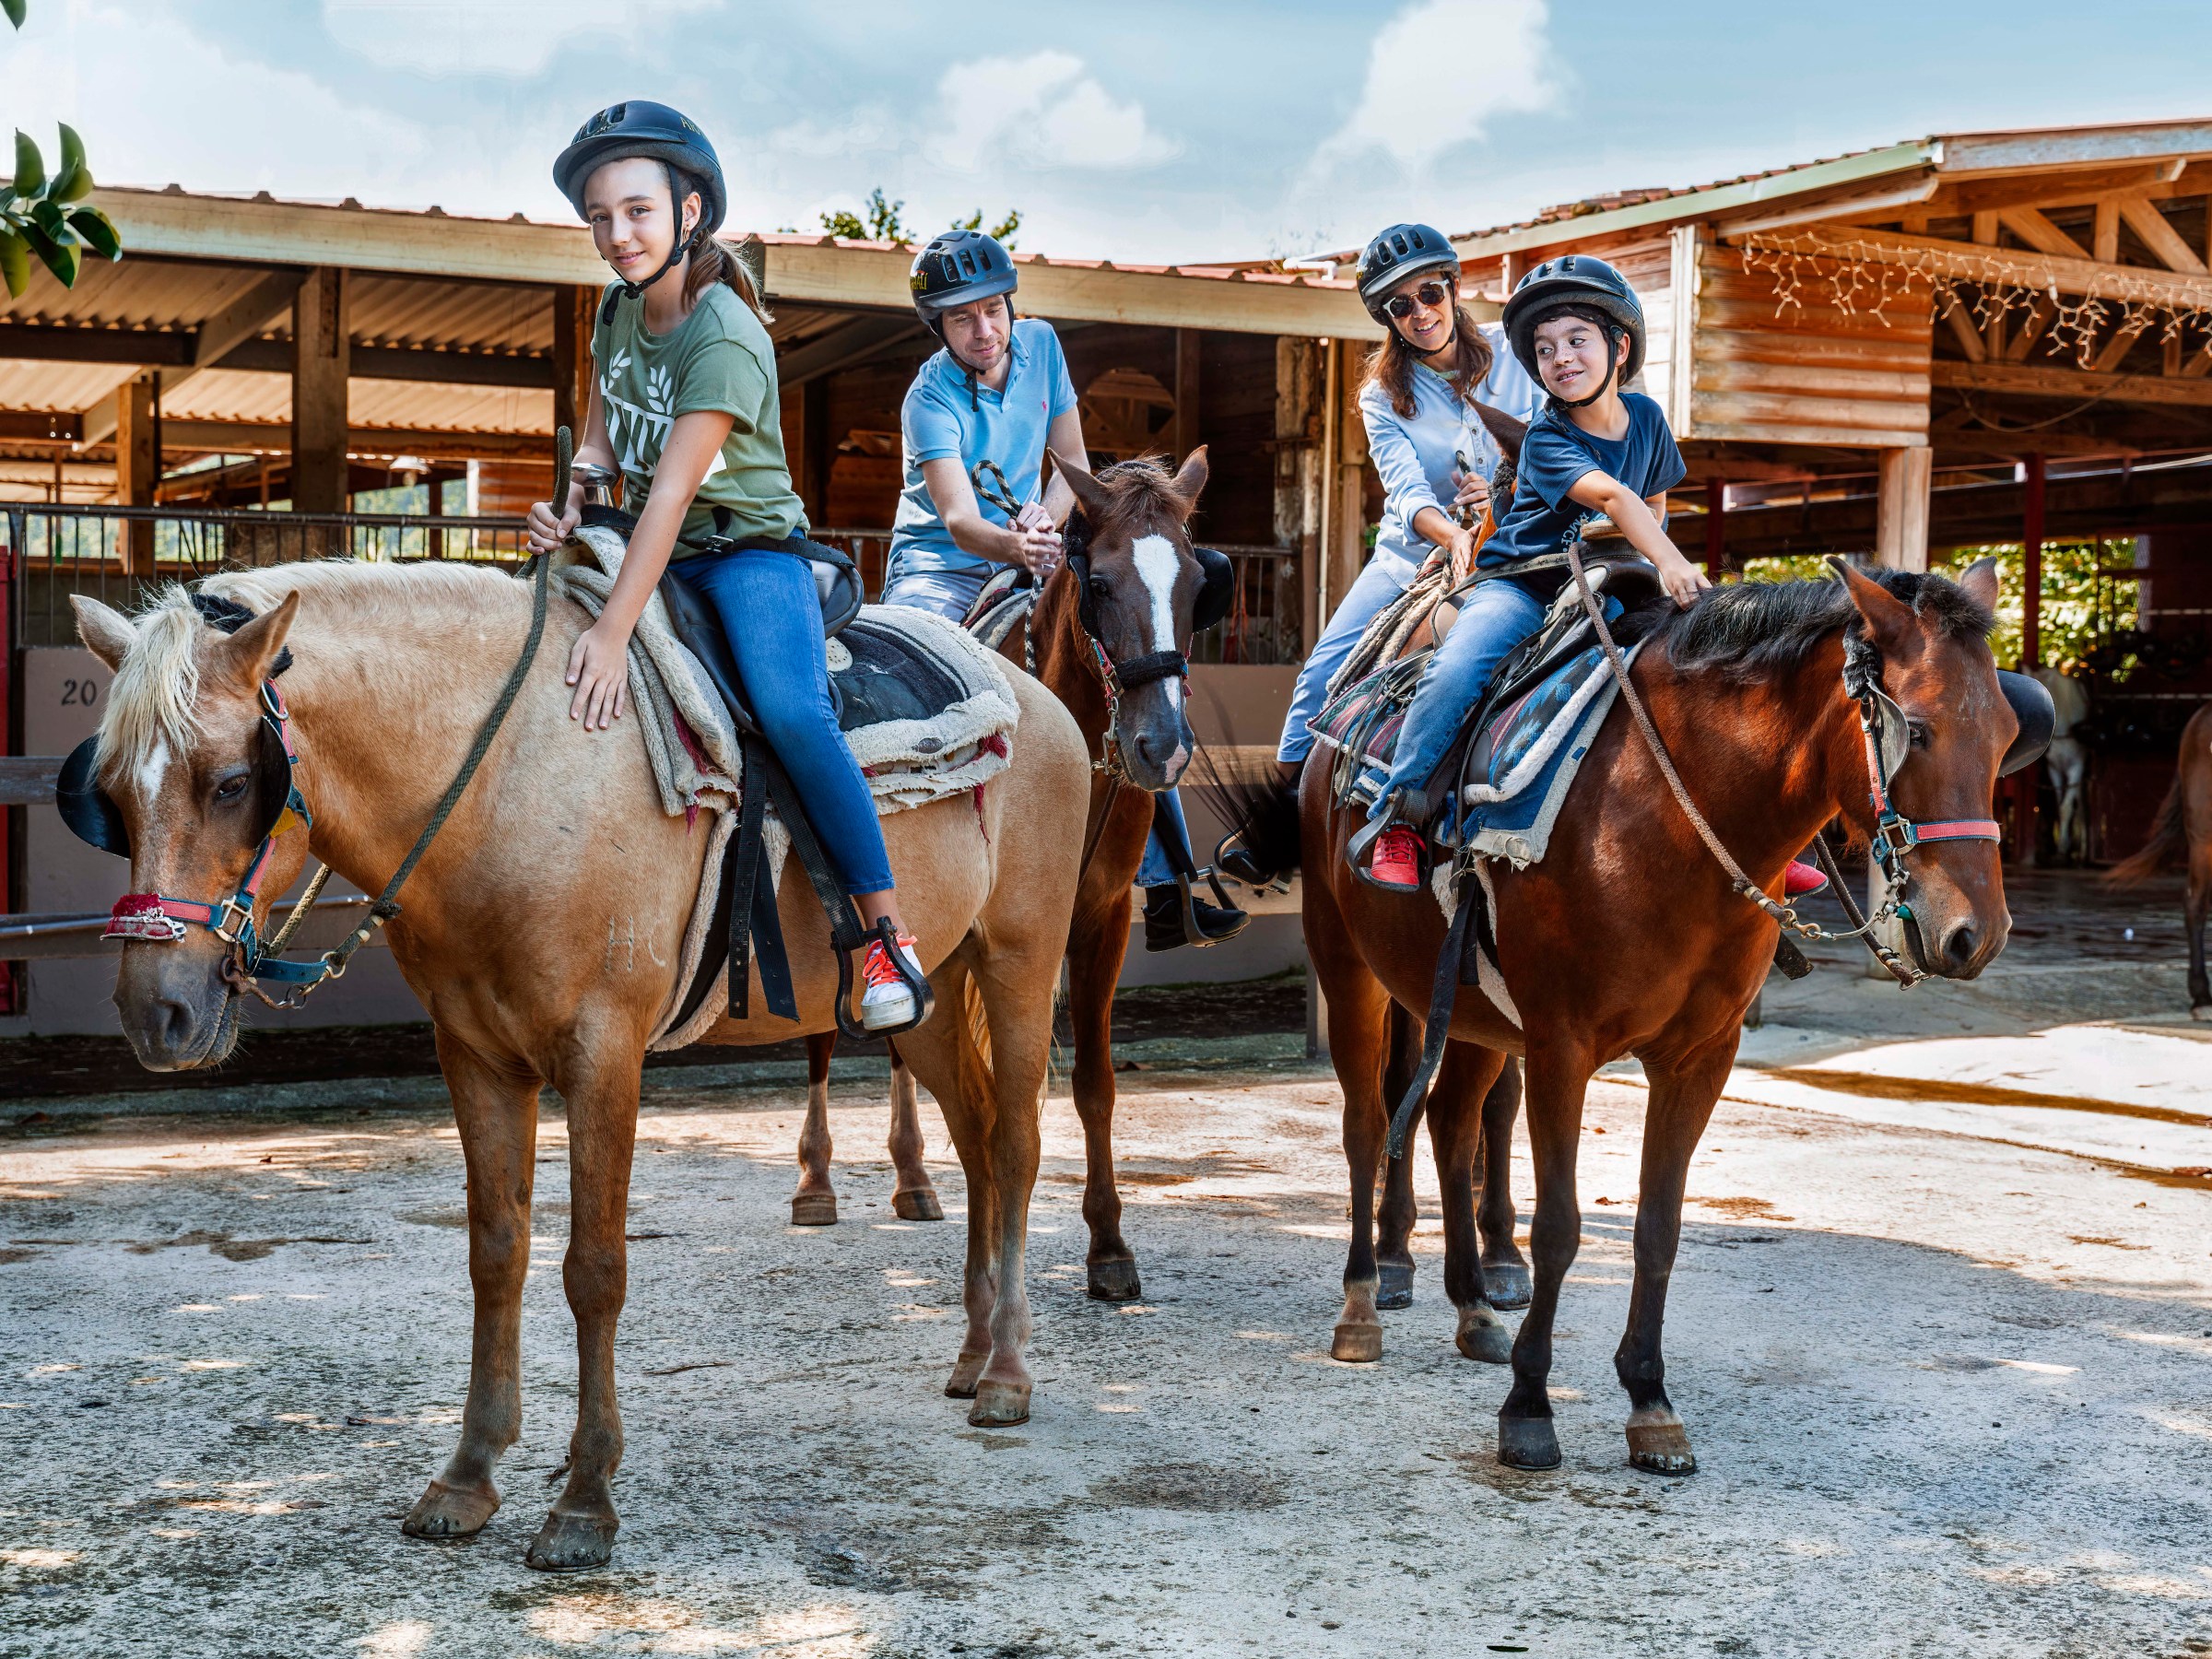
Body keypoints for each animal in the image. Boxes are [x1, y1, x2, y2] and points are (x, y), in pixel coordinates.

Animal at [73, 559, 1092, 1574]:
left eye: (232, 782)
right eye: (111, 796)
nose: (155, 1013)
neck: (506, 782)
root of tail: (1036, 697)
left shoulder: (603, 1054)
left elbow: (594, 1268)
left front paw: (584, 1499)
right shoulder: (476, 1057)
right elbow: (497, 1254)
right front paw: (468, 1476)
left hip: (1019, 961)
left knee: (1015, 1150)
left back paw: (1007, 1373)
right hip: (931, 994)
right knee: (975, 1140)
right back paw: (971, 1353)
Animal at [787, 449, 1220, 1309]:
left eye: (1196, 583)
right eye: (1101, 583)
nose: (1162, 747)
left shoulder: (1100, 918)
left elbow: (1094, 1082)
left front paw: (1108, 1246)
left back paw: (915, 1179)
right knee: (825, 1041)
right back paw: (817, 1181)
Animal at [1230, 561, 2026, 1477]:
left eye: (2008, 734)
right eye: (1918, 732)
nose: (1974, 935)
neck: (1668, 812)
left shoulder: (1699, 1057)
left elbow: (1658, 1228)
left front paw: (1650, 1402)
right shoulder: (1560, 1045)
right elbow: (1559, 1230)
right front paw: (1530, 1409)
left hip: (1467, 1008)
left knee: (1450, 1125)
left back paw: (1474, 1310)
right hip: (1353, 969)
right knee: (1369, 1127)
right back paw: (1362, 1304)